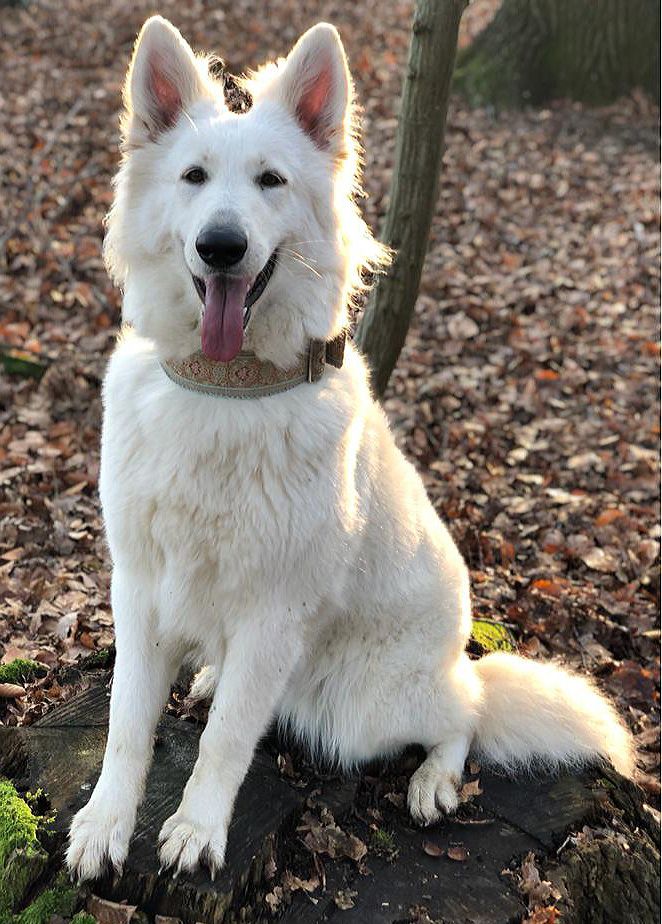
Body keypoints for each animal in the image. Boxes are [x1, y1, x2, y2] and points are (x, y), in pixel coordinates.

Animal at [67, 16, 640, 880]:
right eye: (193, 177)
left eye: (271, 181)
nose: (221, 246)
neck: (226, 389)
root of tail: (456, 656)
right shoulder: (140, 587)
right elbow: (125, 724)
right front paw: (106, 822)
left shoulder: (273, 613)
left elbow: (226, 740)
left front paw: (197, 828)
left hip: (367, 708)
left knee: (467, 715)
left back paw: (437, 780)